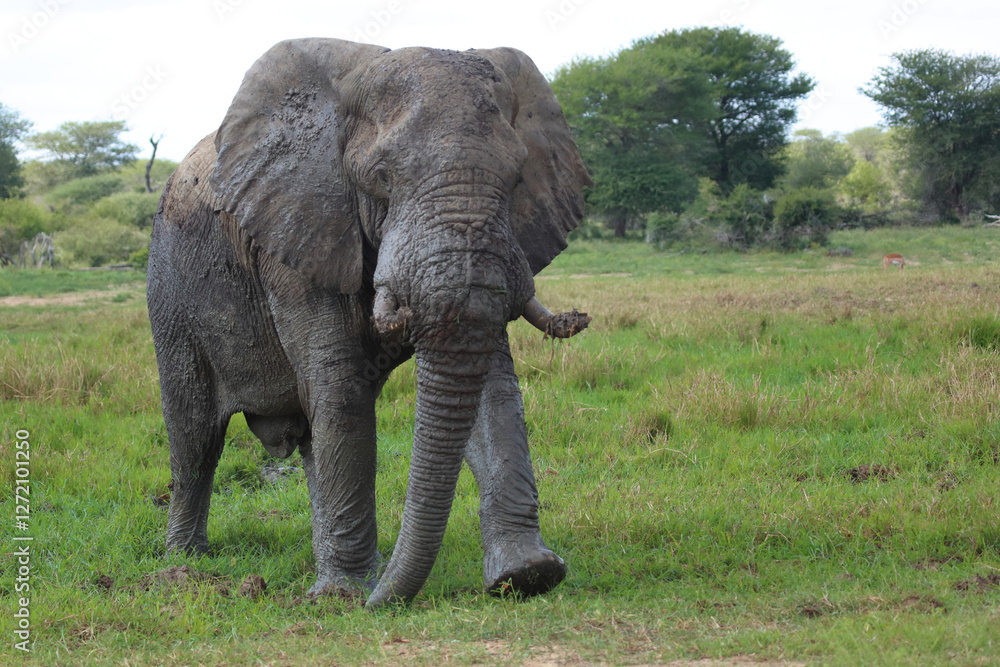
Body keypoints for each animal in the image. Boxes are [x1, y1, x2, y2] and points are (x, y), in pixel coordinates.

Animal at [146, 38, 592, 609]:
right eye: (381, 177)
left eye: (517, 179)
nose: (381, 600)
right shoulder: (298, 232)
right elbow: (341, 388)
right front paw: (347, 597)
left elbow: (491, 385)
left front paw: (528, 576)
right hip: (170, 288)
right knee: (196, 434)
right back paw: (187, 563)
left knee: (306, 436)